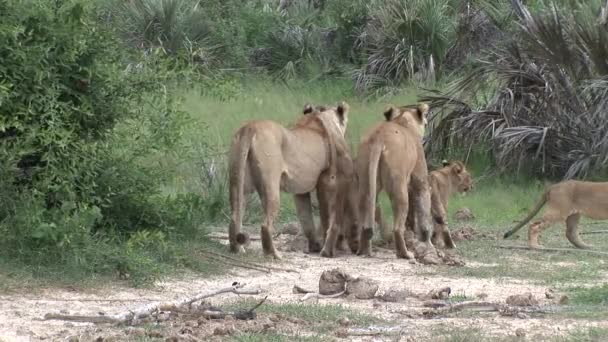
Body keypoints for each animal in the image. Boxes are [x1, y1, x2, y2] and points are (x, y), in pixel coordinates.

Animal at [227, 102, 352, 260]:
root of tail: (250, 126)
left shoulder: (300, 191)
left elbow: (306, 219)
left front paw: (315, 246)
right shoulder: (325, 182)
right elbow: (324, 217)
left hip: (238, 182)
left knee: (234, 217)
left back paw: (238, 249)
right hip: (271, 186)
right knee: (265, 225)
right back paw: (274, 254)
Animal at [352, 103, 436, 258]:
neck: (402, 121)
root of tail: (379, 137)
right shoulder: (420, 180)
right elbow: (424, 211)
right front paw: (429, 245)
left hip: (365, 180)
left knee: (364, 219)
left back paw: (364, 250)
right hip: (398, 185)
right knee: (397, 228)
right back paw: (405, 254)